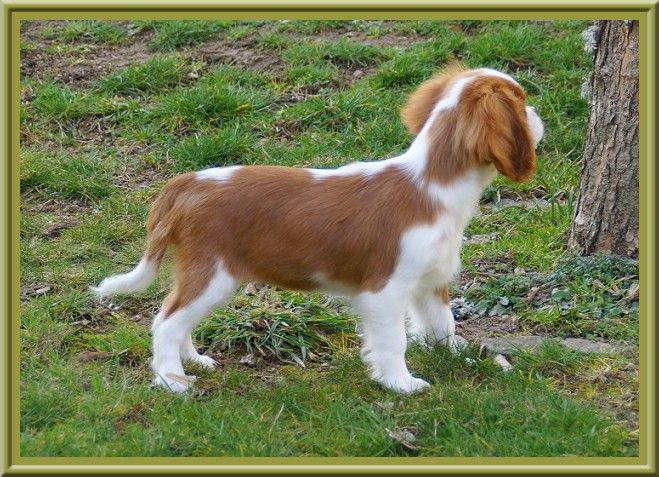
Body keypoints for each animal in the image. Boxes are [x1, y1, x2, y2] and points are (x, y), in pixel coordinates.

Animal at [92, 65, 544, 394]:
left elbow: (443, 325)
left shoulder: (429, 282)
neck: (431, 184)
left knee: (177, 316)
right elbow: (393, 341)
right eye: (522, 104)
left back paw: (194, 360)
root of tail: (185, 183)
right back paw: (172, 381)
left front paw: (458, 359)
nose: (540, 118)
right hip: (212, 275)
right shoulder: (386, 290)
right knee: (165, 322)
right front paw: (401, 383)